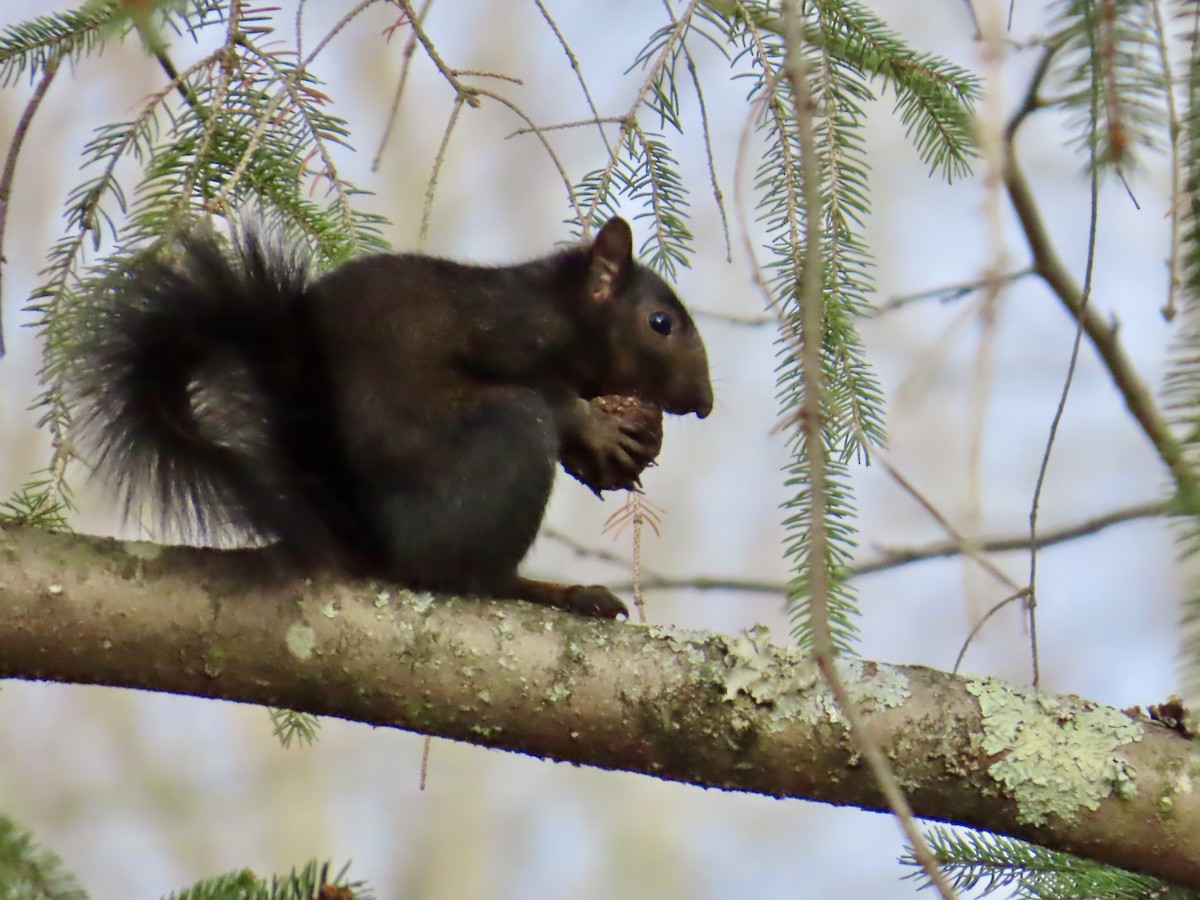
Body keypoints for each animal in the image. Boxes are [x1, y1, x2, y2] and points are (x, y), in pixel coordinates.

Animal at [66, 216, 712, 618]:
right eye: (660, 323)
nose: (704, 402)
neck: (562, 309)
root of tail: (369, 539)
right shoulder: (506, 330)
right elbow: (550, 395)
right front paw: (598, 431)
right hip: (508, 439)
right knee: (462, 575)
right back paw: (553, 591)